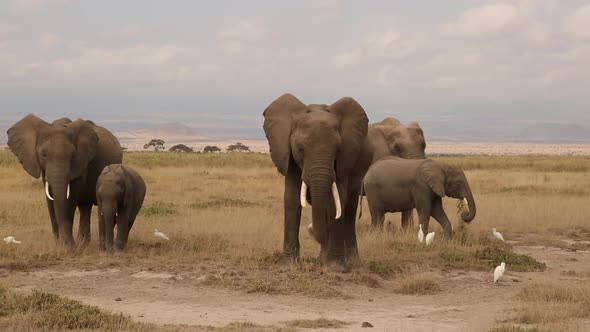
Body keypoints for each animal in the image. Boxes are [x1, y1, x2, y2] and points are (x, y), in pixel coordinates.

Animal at [7, 114, 122, 246]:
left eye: (72, 156)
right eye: (43, 155)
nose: (64, 242)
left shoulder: (80, 163)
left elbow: (70, 200)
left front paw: (68, 245)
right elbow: (50, 200)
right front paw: (58, 244)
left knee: (85, 206)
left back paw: (81, 243)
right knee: (85, 206)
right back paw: (83, 243)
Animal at [264, 92, 370, 268]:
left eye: (337, 150)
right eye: (300, 148)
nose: (311, 229)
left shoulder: (344, 161)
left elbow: (336, 202)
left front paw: (335, 267)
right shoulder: (289, 157)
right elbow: (292, 200)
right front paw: (289, 266)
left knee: (348, 213)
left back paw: (348, 261)